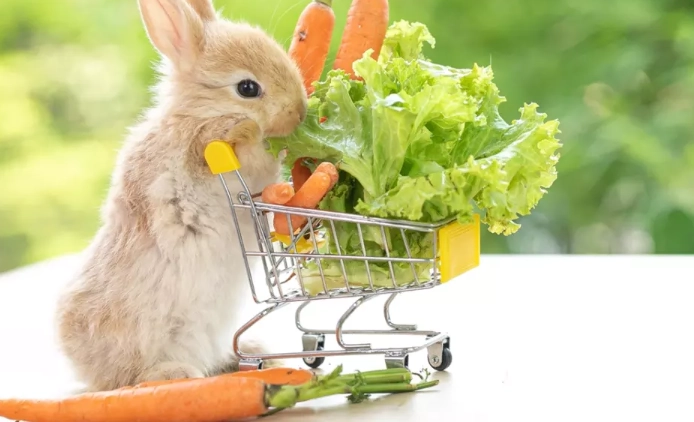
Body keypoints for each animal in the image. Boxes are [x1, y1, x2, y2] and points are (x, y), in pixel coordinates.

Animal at [54, 0, 307, 392]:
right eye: (247, 88)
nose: (300, 111)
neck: (199, 113)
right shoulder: (204, 155)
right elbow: (247, 149)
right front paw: (246, 130)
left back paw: (256, 355)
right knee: (128, 380)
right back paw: (173, 373)